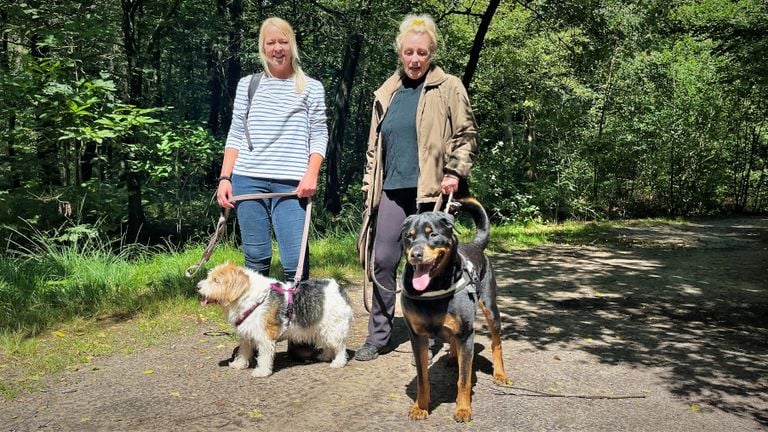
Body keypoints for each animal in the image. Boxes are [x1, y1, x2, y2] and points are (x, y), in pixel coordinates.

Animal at [198, 262, 354, 376]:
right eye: (210, 276)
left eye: (216, 280)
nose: (198, 286)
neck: (248, 296)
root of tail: (337, 286)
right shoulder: (246, 334)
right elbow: (243, 351)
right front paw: (239, 364)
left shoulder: (265, 336)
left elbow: (264, 356)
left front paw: (262, 371)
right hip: (323, 327)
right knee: (329, 345)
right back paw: (326, 356)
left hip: (333, 327)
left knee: (340, 347)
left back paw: (338, 362)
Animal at [400, 197, 508, 422]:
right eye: (409, 237)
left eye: (433, 234)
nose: (416, 255)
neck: (433, 287)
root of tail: (475, 245)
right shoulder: (417, 336)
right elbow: (422, 377)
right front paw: (420, 406)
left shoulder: (466, 334)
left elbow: (464, 379)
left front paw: (463, 409)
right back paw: (452, 355)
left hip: (490, 309)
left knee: (496, 343)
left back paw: (500, 374)